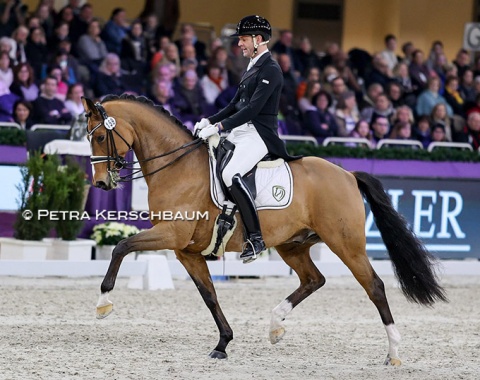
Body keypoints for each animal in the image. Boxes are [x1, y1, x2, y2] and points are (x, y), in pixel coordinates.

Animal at [79, 93, 446, 364]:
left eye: (101, 136)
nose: (101, 183)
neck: (177, 166)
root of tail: (347, 174)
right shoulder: (186, 251)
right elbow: (209, 295)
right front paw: (223, 344)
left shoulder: (172, 236)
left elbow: (121, 247)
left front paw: (102, 304)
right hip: (292, 244)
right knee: (314, 279)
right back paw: (274, 326)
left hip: (346, 244)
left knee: (374, 286)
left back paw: (393, 352)